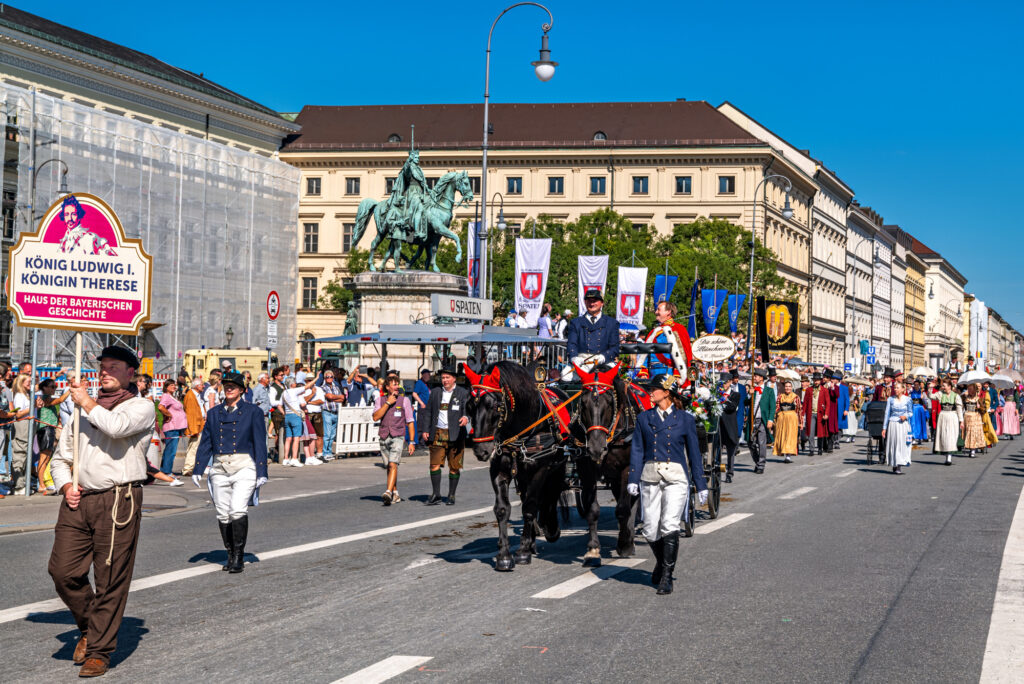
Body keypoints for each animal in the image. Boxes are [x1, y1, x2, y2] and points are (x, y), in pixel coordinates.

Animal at [464, 361, 571, 572]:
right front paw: (504, 555)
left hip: (557, 466)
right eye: (470, 406)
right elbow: (503, 509)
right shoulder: (499, 471)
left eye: (494, 406)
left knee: (551, 493)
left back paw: (548, 529)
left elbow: (530, 507)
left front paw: (522, 551)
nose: (481, 450)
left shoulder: (540, 470)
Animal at [570, 361, 647, 562]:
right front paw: (593, 548)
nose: (596, 448)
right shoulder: (586, 471)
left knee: (632, 501)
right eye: (582, 403)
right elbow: (592, 510)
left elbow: (623, 508)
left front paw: (624, 544)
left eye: (610, 403)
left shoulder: (628, 469)